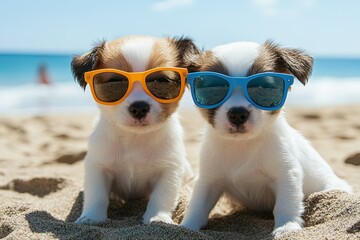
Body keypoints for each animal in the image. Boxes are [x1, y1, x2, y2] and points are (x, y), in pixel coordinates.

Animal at [71, 35, 198, 225]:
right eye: (115, 82)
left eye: (161, 81)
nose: (139, 108)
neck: (135, 138)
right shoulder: (98, 167)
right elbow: (97, 195)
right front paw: (92, 217)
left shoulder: (169, 170)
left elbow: (162, 196)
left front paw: (157, 218)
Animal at [180, 40, 352, 236]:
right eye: (213, 89)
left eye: (264, 88)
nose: (238, 114)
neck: (243, 145)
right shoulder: (209, 180)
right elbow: (197, 206)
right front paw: (187, 227)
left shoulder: (287, 175)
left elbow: (286, 204)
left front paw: (286, 227)